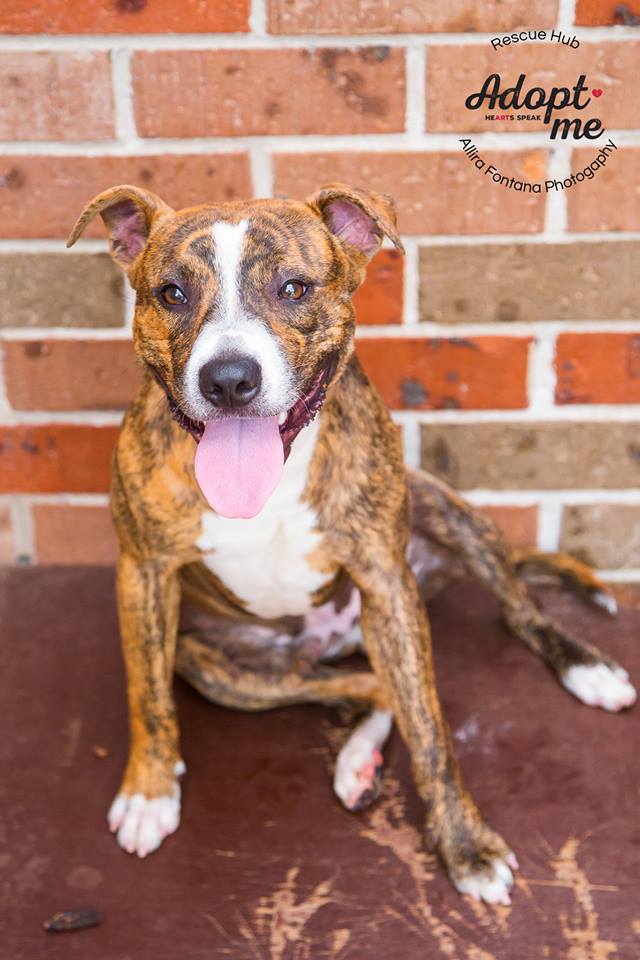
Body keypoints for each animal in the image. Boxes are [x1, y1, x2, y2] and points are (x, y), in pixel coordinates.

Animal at [68, 182, 636, 905]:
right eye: (171, 293)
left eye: (293, 288)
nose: (228, 378)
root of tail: (332, 636)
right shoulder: (142, 572)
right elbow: (147, 695)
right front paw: (150, 789)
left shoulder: (389, 583)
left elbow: (431, 728)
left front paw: (465, 844)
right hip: (225, 668)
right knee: (368, 686)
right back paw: (356, 762)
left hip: (442, 514)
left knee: (511, 612)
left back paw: (585, 668)